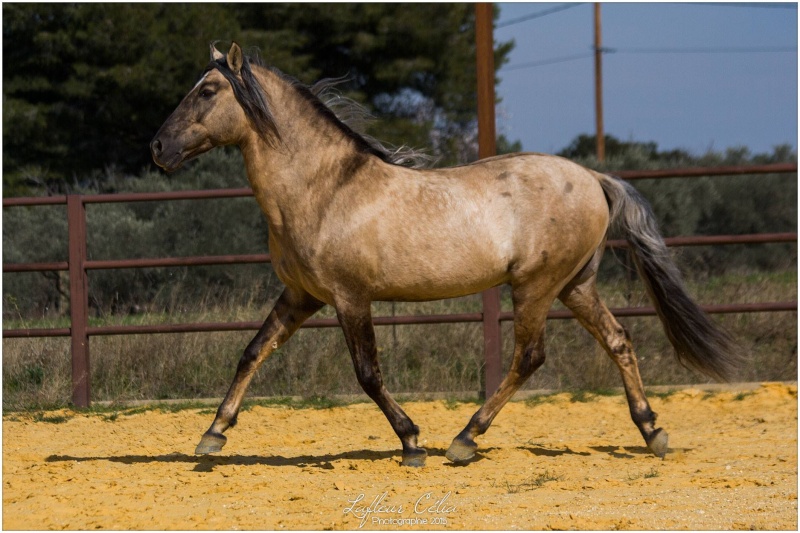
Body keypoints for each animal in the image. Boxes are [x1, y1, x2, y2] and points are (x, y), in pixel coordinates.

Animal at [148, 41, 736, 466]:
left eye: (207, 90)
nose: (157, 148)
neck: (325, 190)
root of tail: (593, 177)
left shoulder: (349, 297)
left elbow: (367, 374)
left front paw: (412, 443)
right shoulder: (300, 296)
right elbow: (252, 351)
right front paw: (212, 435)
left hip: (536, 287)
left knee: (529, 357)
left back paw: (464, 440)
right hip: (576, 285)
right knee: (619, 341)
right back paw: (653, 432)